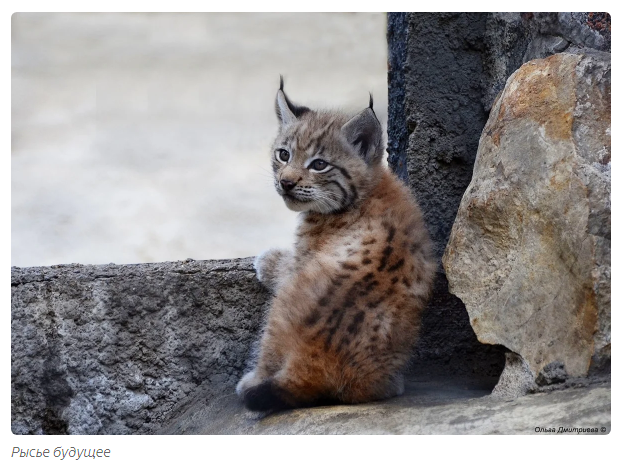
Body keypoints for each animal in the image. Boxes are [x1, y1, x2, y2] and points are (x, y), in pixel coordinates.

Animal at [236, 79, 434, 412]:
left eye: (319, 165)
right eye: (283, 155)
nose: (286, 182)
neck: (371, 186)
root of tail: (314, 358)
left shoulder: (303, 256)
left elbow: (286, 264)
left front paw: (268, 260)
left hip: (278, 312)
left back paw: (249, 381)